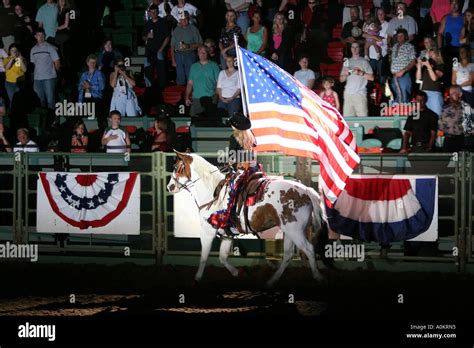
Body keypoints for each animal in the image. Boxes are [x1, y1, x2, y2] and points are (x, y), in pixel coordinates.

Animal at [168, 152, 330, 288]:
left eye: (177, 167)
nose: (170, 187)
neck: (213, 193)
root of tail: (306, 190)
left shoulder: (207, 232)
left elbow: (204, 256)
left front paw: (196, 279)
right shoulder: (227, 235)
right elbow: (223, 257)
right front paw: (238, 273)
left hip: (294, 231)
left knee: (309, 249)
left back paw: (319, 277)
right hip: (289, 231)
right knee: (288, 255)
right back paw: (271, 281)